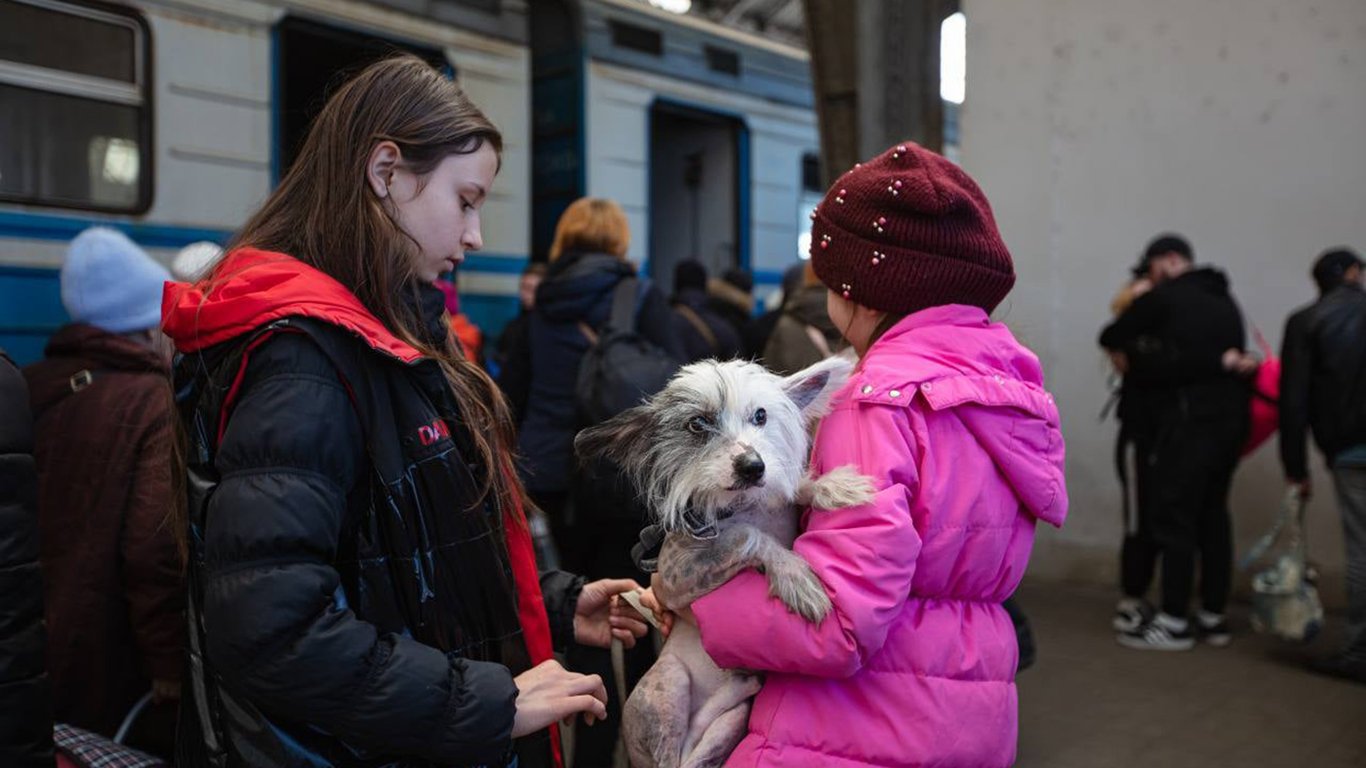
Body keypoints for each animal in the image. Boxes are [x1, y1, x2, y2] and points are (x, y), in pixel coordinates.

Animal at [576, 355, 874, 759]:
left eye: (761, 415)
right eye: (697, 423)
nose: (753, 465)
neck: (744, 505)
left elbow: (793, 489)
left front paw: (835, 486)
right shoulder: (675, 573)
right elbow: (747, 536)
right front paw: (795, 577)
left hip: (730, 721)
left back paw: (743, 685)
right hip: (667, 683)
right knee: (672, 758)